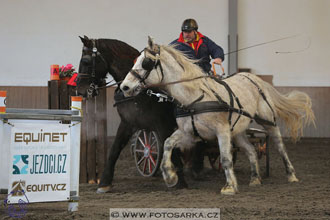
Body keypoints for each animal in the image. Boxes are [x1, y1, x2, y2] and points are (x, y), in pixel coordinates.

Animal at [120, 37, 314, 195]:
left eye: (146, 62)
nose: (124, 87)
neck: (195, 97)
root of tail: (253, 78)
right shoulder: (188, 133)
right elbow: (167, 143)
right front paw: (170, 176)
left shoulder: (222, 131)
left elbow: (226, 158)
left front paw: (229, 187)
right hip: (238, 131)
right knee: (251, 150)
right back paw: (255, 178)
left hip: (267, 122)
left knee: (280, 147)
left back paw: (291, 175)